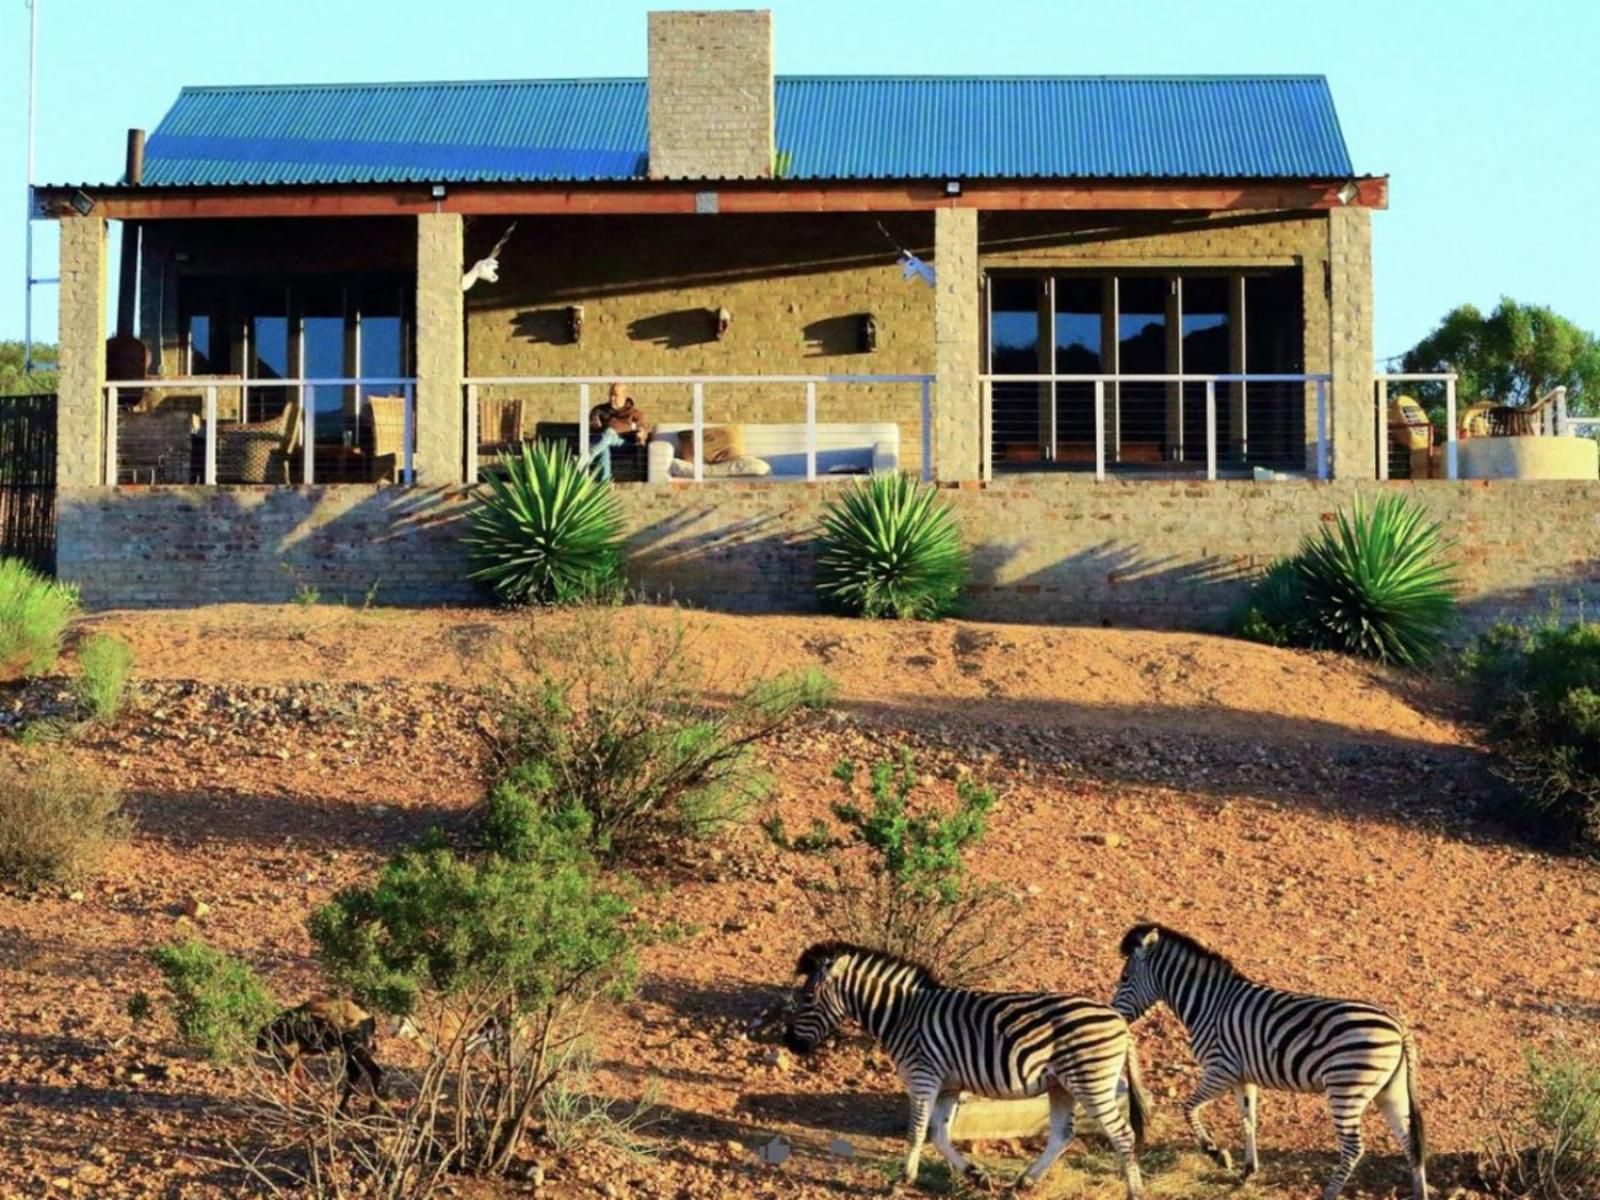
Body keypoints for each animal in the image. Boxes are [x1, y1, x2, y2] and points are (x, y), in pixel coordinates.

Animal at [777, 947, 1145, 1196]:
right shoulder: (949, 1085)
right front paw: (975, 1175)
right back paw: (1022, 1182)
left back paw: (1134, 1191)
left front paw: (901, 1181)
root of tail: (1120, 1021)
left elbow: (917, 1131)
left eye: (807, 998)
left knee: (1122, 1135)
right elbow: (939, 1134)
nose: (789, 1043)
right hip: (1060, 1085)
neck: (901, 1014)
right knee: (1062, 1135)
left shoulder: (923, 1076)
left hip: (1091, 1082)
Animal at [1113, 928, 1427, 1200]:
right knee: (1410, 1141)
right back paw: (1419, 1193)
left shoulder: (1220, 1069)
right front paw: (1247, 1171)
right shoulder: (1243, 1077)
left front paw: (1217, 1153)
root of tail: (1399, 1028)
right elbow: (1248, 1121)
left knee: (1353, 1148)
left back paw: (1329, 1193)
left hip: (1347, 1089)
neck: (1208, 1004)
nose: (1115, 1013)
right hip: (1390, 1090)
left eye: (1125, 977)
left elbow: (1188, 1108)